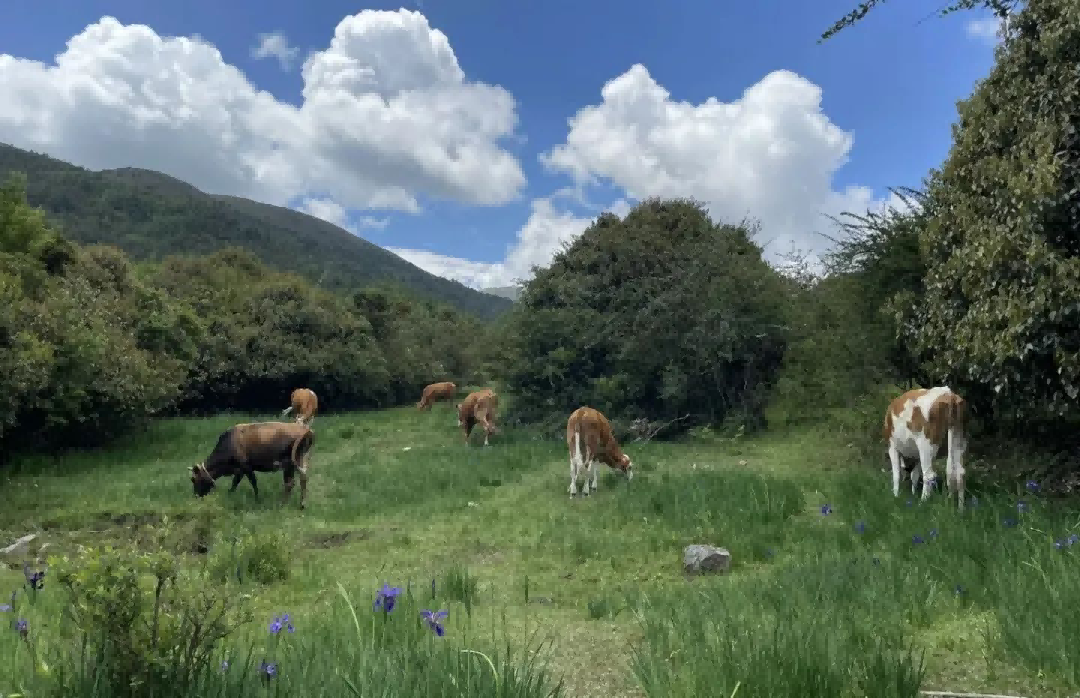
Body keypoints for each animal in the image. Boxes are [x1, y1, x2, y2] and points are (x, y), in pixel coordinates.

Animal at [885, 384, 972, 512]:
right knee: (960, 473)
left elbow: (896, 474)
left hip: (926, 444)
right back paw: (960, 509)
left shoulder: (892, 447)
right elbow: (914, 475)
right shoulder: (917, 455)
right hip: (959, 436)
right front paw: (912, 493)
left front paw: (895, 496)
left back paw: (922, 504)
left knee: (929, 475)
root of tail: (948, 393)